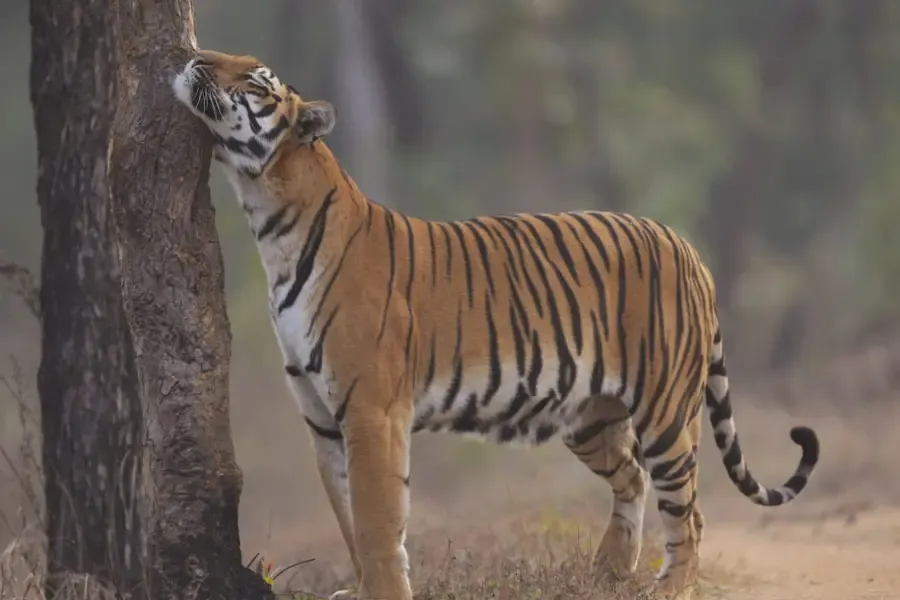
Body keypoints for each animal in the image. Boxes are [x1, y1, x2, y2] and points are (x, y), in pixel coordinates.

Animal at [172, 49, 820, 600]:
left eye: (255, 80)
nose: (191, 57)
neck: (269, 218)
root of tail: (687, 248)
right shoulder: (321, 417)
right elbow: (349, 520)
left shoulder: (371, 410)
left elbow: (378, 523)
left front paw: (383, 591)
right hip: (589, 413)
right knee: (632, 478)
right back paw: (608, 573)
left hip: (665, 409)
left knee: (688, 508)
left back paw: (669, 587)